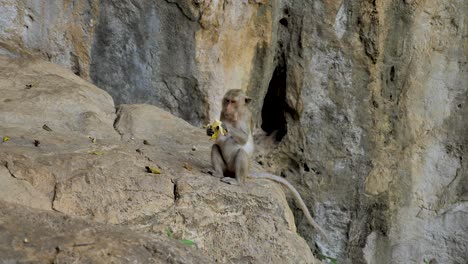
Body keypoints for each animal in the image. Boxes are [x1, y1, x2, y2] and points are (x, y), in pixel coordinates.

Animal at [207, 88, 328, 237]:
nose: (227, 108)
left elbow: (243, 138)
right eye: (227, 100)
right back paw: (218, 173)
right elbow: (218, 141)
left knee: (241, 154)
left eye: (233, 102)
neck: (235, 115)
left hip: (238, 169)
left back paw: (238, 181)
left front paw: (225, 126)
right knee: (215, 148)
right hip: (227, 168)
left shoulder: (246, 117)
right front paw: (211, 130)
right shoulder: (222, 113)